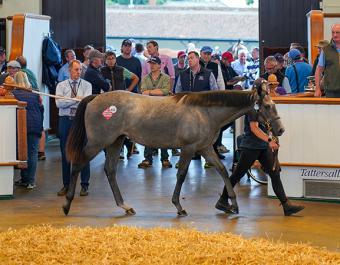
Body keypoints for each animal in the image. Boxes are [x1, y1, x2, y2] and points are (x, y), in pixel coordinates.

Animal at [64, 83, 284, 216]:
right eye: (267, 106)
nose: (280, 130)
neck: (204, 112)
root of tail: (94, 98)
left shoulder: (205, 148)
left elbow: (223, 170)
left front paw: (231, 205)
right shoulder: (189, 148)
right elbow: (181, 174)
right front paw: (179, 207)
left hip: (115, 142)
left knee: (110, 171)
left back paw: (125, 206)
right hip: (97, 143)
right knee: (78, 164)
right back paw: (67, 204)